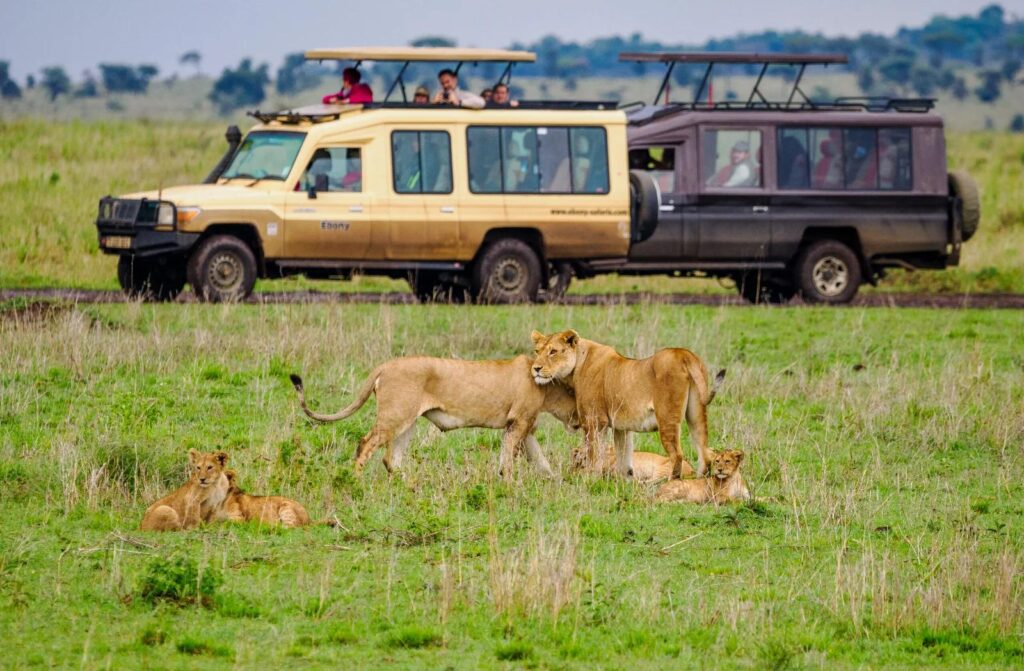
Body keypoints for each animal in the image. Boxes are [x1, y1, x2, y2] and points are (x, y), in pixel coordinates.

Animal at [290, 355, 579, 478]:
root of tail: (385, 365)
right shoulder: (517, 422)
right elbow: (508, 459)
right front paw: (508, 482)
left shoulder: (525, 427)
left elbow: (540, 459)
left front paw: (553, 481)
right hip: (395, 417)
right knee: (365, 445)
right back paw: (356, 482)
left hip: (408, 421)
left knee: (391, 458)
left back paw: (410, 486)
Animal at [530, 330, 724, 478]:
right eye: (537, 351)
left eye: (553, 351)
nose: (535, 368)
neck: (577, 363)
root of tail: (684, 354)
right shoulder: (621, 428)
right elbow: (624, 459)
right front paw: (624, 484)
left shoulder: (595, 421)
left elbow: (593, 454)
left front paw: (589, 480)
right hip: (696, 413)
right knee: (705, 453)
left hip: (667, 417)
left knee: (677, 455)